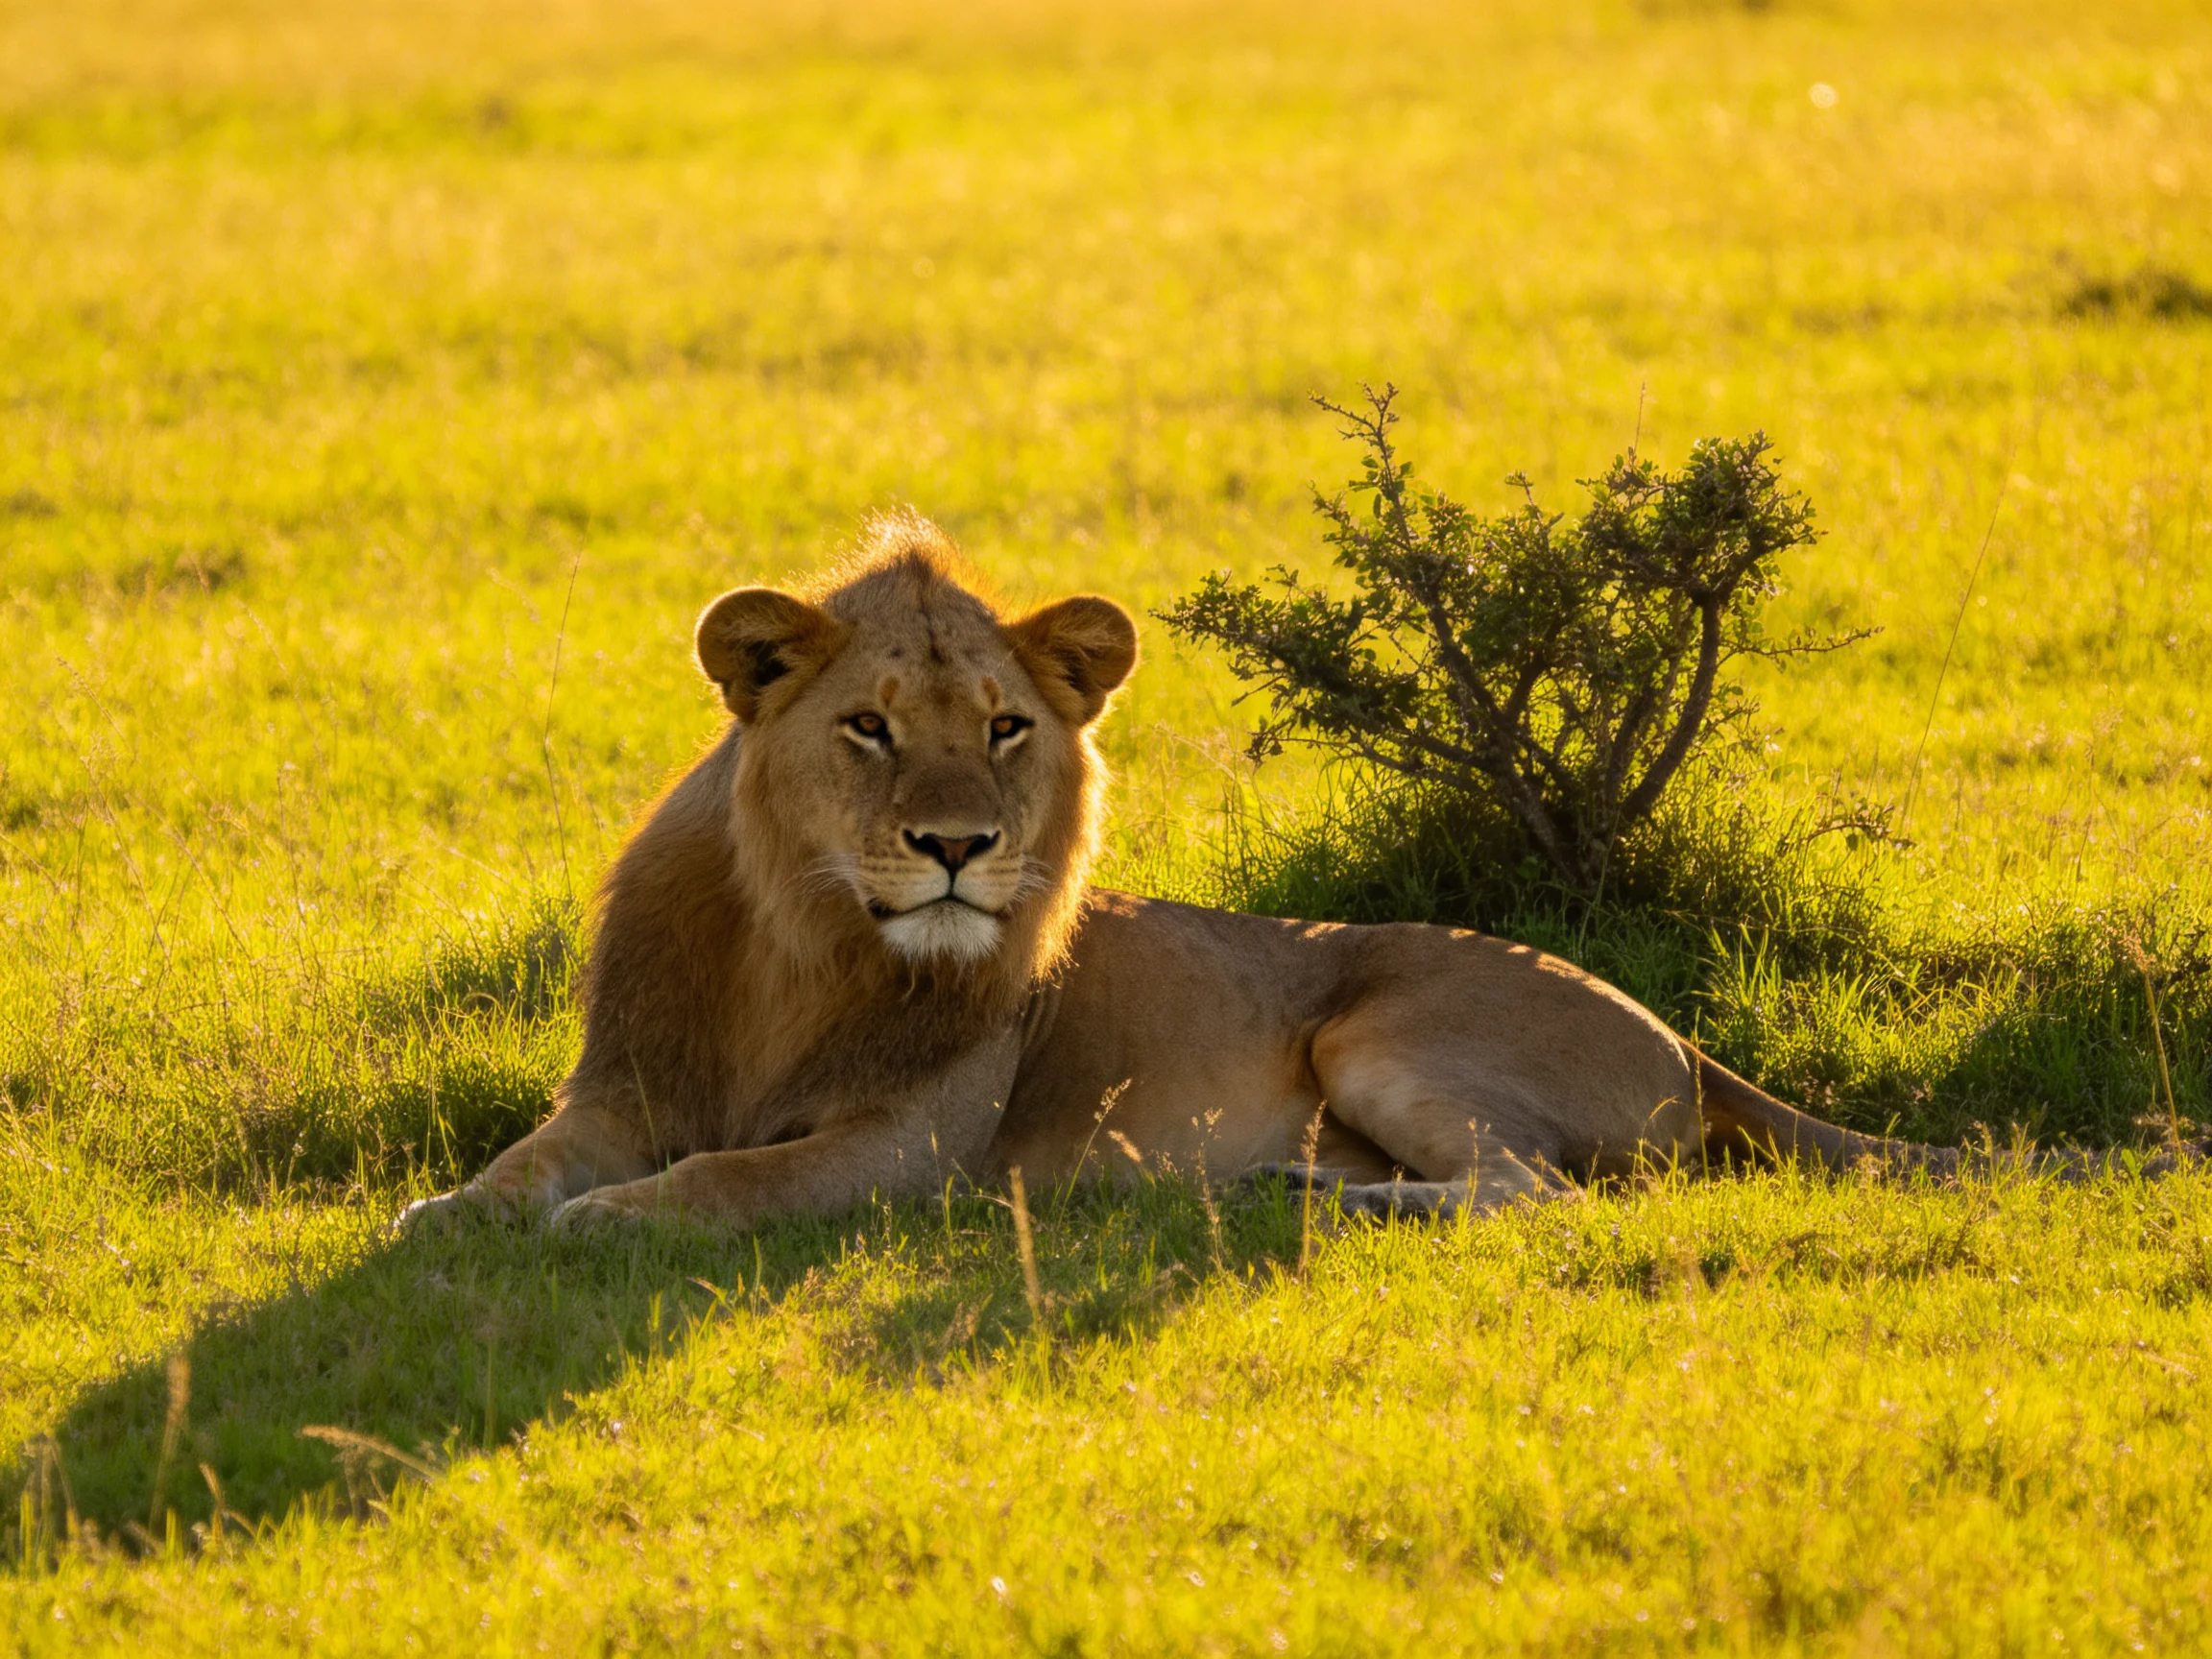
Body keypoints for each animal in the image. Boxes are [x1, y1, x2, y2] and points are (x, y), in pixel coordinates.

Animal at [404, 512, 1959, 1234]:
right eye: (869, 728)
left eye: (1004, 729)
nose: (958, 848)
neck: (803, 942)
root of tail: (1684, 1035)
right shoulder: (621, 1088)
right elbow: (526, 1158)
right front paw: (456, 1213)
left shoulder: (910, 1149)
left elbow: (732, 1176)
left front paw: (612, 1221)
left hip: (1378, 1033)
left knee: (1534, 1192)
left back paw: (1315, 1199)